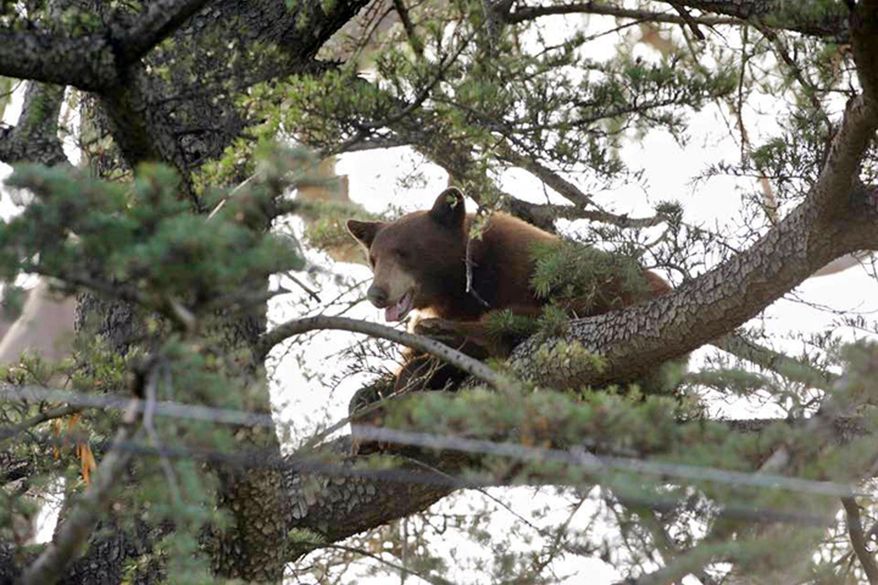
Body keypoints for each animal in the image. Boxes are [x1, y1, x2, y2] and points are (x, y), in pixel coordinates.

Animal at [345, 187, 673, 400]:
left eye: (404, 253)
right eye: (373, 259)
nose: (376, 293)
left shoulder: (521, 267)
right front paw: (370, 392)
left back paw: (441, 332)